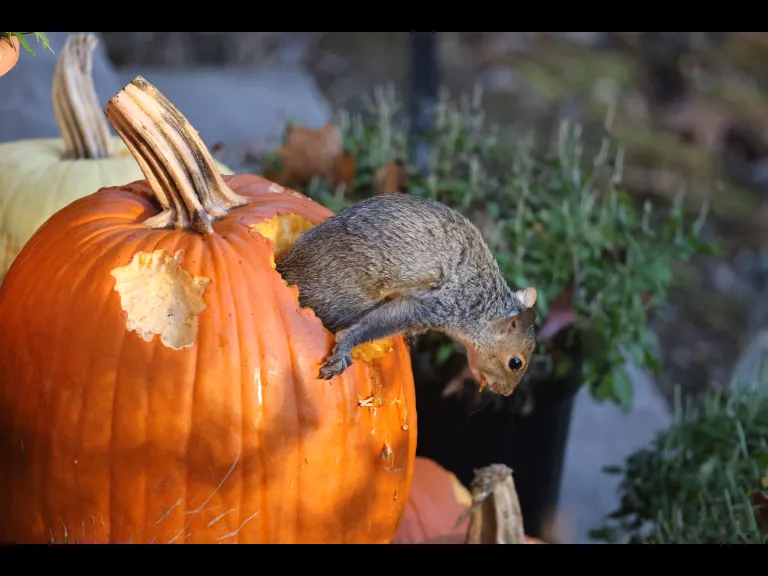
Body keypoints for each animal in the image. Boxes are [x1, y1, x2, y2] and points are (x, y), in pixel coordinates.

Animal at [275, 193, 538, 396]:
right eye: (516, 363)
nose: (506, 392)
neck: (487, 305)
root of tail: (288, 268)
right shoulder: (443, 304)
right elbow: (384, 321)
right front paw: (345, 346)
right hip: (344, 298)